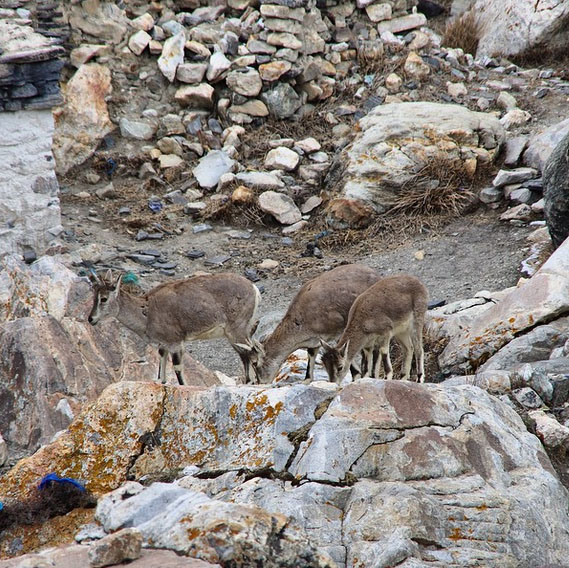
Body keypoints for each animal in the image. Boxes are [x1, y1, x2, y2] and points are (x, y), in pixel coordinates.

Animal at [87, 270, 260, 386]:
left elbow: (177, 368)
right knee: (250, 351)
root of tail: (254, 289)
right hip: (239, 332)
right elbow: (161, 364)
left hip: (236, 329)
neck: (147, 311)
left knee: (251, 352)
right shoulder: (163, 344)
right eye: (93, 296)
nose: (91, 319)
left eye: (103, 298)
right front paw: (162, 381)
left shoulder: (175, 341)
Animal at [253, 264, 382, 384]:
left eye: (256, 364)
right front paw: (306, 379)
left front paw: (356, 375)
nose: (261, 382)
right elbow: (311, 354)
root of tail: (376, 275)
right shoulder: (315, 339)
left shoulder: (340, 329)